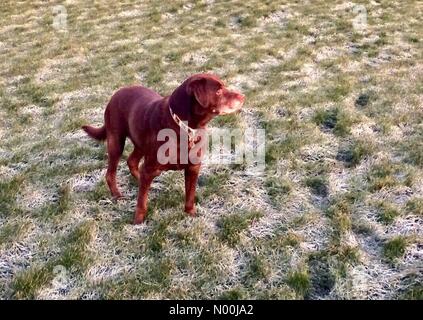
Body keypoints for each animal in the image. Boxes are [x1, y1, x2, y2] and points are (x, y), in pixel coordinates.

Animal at [82, 74, 245, 224]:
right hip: (116, 141)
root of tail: (115, 94)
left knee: (132, 162)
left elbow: (190, 194)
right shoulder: (150, 168)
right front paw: (138, 221)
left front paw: (190, 213)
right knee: (111, 173)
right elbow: (141, 201)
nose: (243, 96)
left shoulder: (193, 167)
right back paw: (117, 195)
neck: (185, 127)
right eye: (218, 91)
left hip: (140, 143)